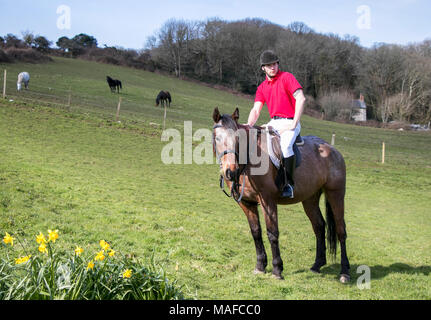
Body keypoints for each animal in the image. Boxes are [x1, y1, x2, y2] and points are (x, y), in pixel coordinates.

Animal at [213, 107, 352, 282]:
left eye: (238, 139)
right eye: (217, 138)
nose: (230, 172)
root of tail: (331, 149)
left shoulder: (268, 201)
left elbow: (272, 233)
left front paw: (277, 269)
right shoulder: (246, 203)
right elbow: (256, 232)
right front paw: (260, 266)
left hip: (336, 194)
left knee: (341, 230)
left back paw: (345, 272)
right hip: (310, 199)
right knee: (319, 226)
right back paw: (317, 265)